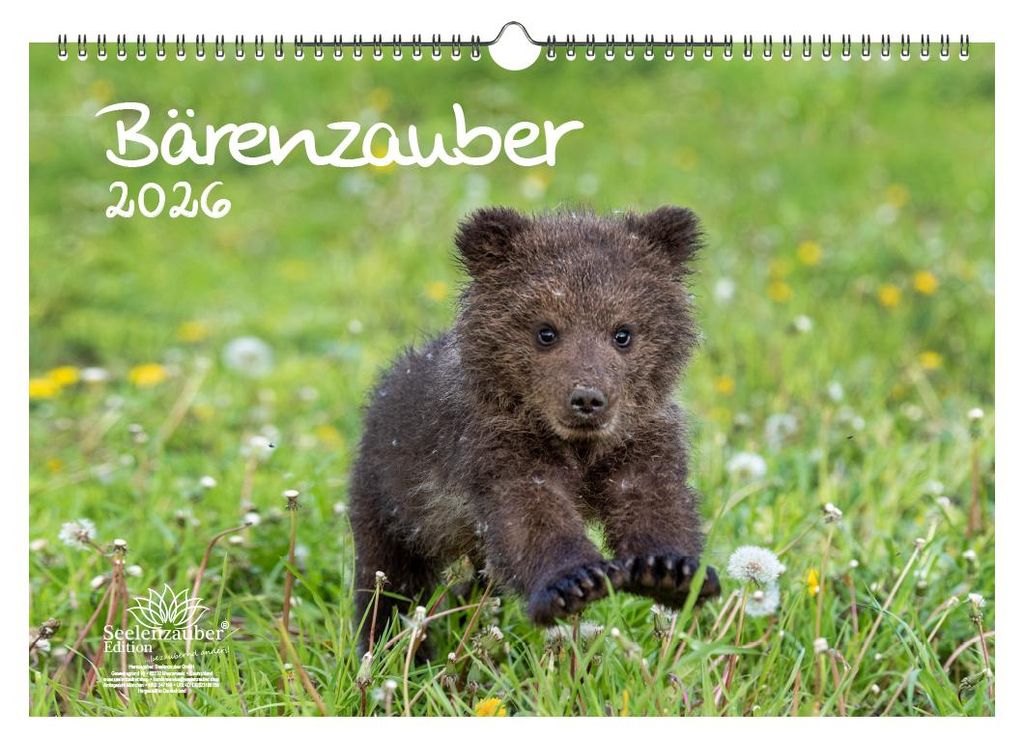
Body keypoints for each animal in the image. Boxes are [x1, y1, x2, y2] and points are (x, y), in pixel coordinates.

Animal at [348, 206, 720, 654]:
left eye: (623, 333)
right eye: (546, 331)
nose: (588, 399)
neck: (580, 448)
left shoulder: (640, 438)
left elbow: (656, 500)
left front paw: (670, 570)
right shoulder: (498, 447)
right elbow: (531, 514)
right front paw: (575, 582)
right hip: (394, 502)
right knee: (389, 581)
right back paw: (394, 647)